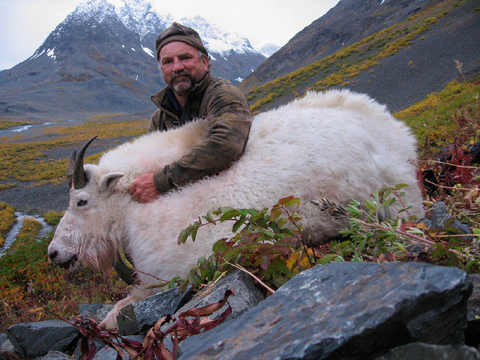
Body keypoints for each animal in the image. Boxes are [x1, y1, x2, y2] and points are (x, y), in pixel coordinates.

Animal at [48, 90, 424, 330]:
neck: (133, 208)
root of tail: (394, 135)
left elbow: (117, 312)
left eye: (81, 201)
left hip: (395, 206)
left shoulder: (173, 274)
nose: (54, 253)